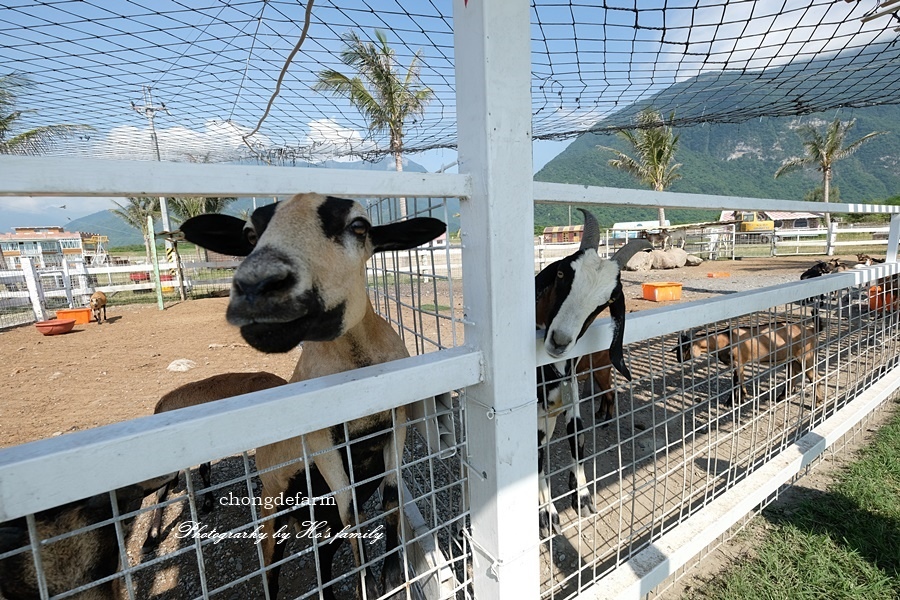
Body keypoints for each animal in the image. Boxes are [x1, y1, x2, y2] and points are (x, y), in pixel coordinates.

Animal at [178, 195, 444, 600]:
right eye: (250, 234)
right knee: (272, 571)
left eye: (359, 226)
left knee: (324, 553)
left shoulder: (395, 418)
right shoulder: (320, 439)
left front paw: (391, 576)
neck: (355, 363)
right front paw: (370, 583)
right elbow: (353, 512)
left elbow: (391, 497)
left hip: (318, 519)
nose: (257, 289)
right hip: (273, 509)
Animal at [536, 209, 648, 536]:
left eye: (607, 301)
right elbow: (536, 460)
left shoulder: (570, 396)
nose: (559, 341)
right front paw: (547, 515)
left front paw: (582, 495)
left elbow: (578, 437)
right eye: (562, 274)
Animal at [676, 312, 824, 406]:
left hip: (806, 356)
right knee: (792, 375)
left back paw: (817, 402)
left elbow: (737, 382)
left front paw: (736, 400)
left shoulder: (739, 362)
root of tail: (811, 330)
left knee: (815, 377)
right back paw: (782, 396)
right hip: (792, 359)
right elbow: (736, 382)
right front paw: (736, 400)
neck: (726, 339)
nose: (678, 359)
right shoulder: (735, 365)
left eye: (685, 347)